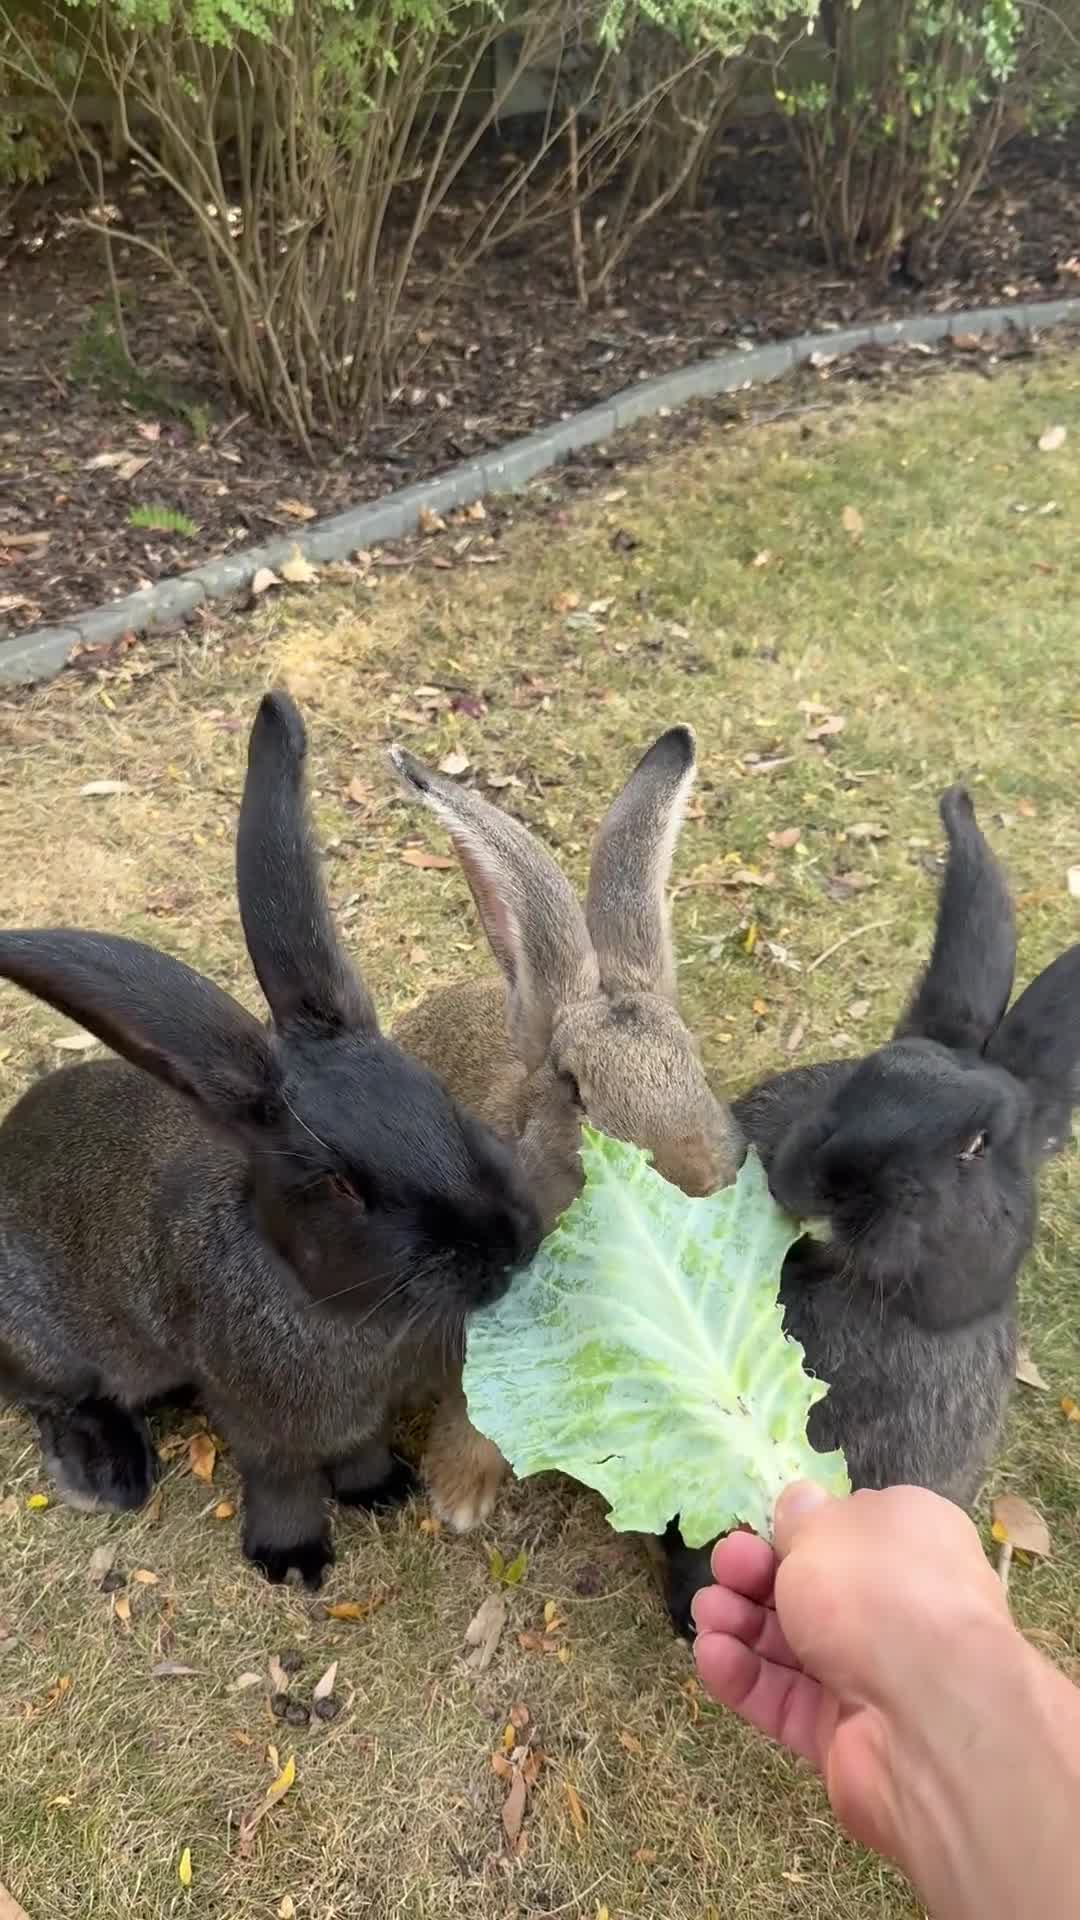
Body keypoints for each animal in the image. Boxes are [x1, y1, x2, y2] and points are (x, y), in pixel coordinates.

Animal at [0, 691, 542, 1587]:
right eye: (343, 1185)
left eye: (437, 1099)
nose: (509, 1244)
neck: (332, 1304)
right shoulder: (262, 1418)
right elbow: (282, 1477)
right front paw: (292, 1561)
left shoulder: (359, 1414)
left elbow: (358, 1449)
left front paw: (381, 1490)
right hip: (49, 1334)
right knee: (58, 1393)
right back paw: (108, 1474)